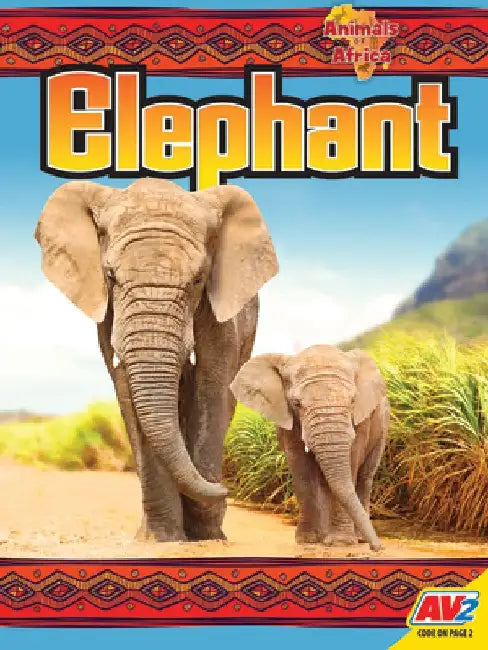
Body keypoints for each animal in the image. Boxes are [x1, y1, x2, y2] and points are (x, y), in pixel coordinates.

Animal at [34, 178, 278, 542]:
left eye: (198, 278)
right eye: (110, 276)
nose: (228, 488)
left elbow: (212, 383)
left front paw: (206, 535)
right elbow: (127, 389)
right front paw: (162, 539)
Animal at [230, 345, 389, 551]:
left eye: (353, 401)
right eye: (296, 404)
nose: (379, 547)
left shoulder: (362, 421)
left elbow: (352, 460)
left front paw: (341, 543)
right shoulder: (287, 419)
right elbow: (301, 467)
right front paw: (307, 540)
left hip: (383, 428)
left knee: (365, 477)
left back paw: (358, 538)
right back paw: (325, 537)